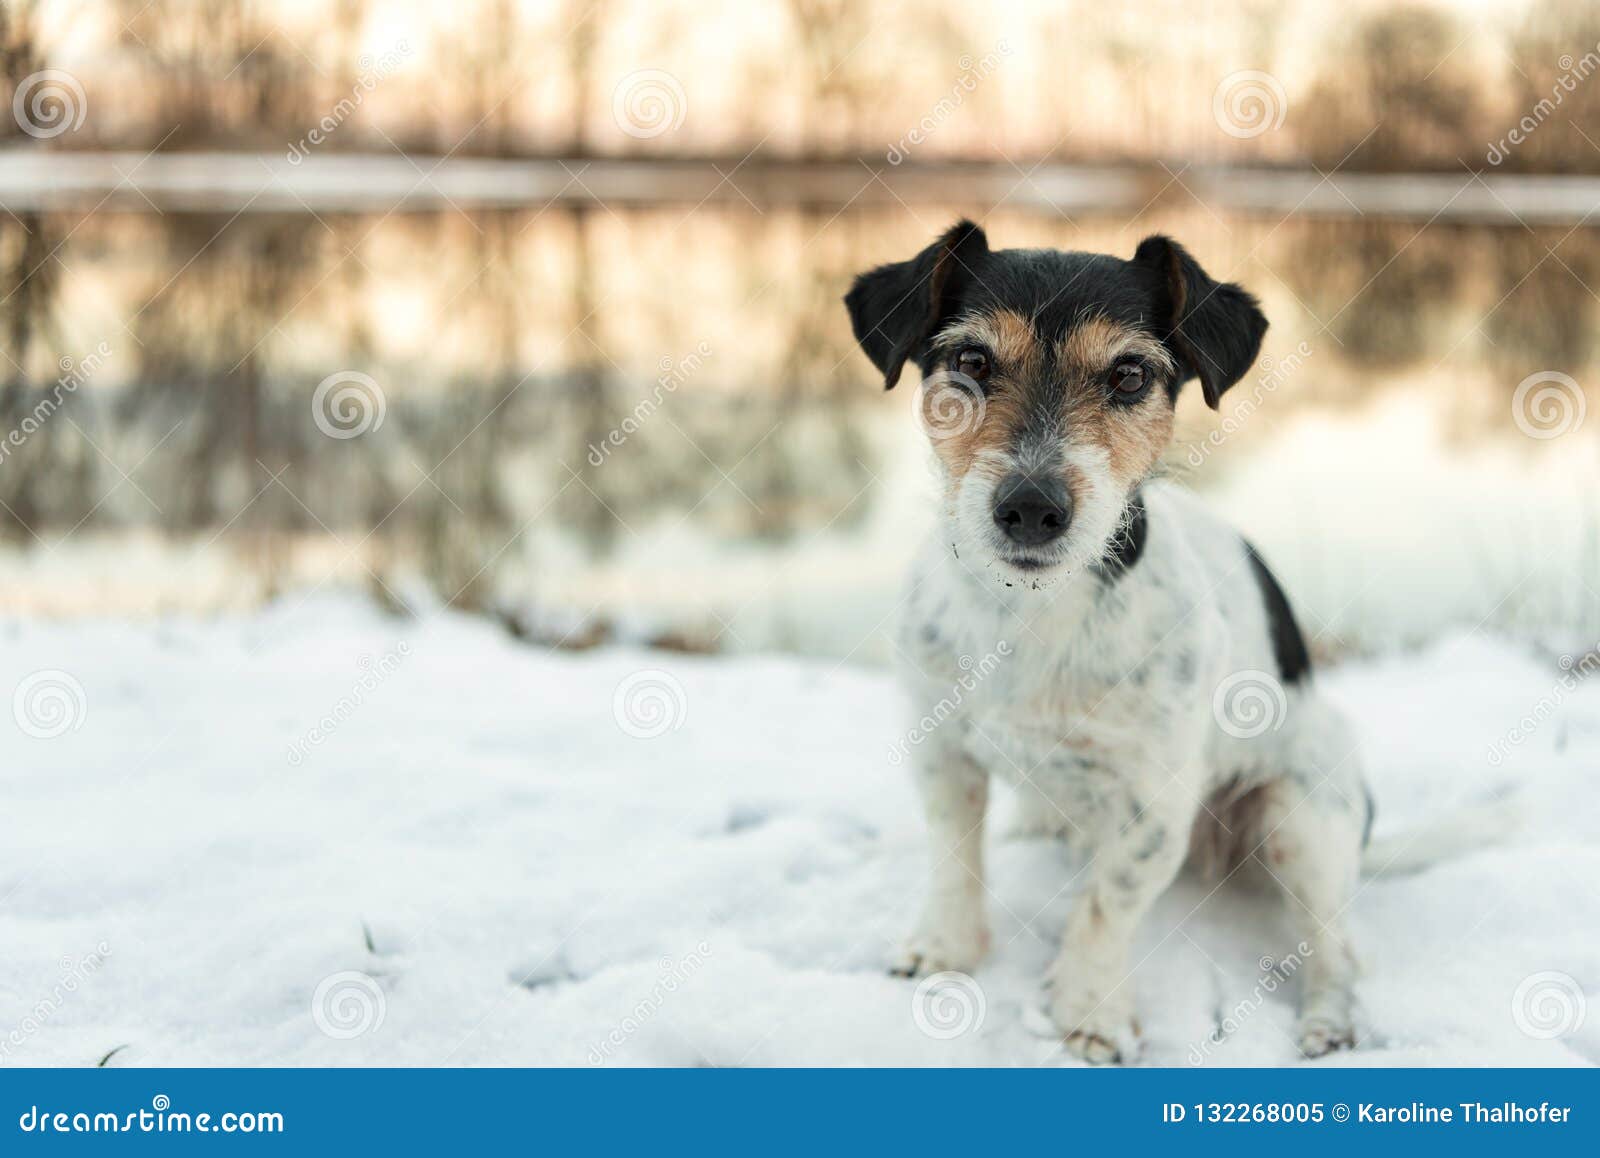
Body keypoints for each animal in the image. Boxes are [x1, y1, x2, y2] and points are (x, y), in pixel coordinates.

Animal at [844, 222, 1369, 1062]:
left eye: (1128, 375)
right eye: (971, 361)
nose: (1030, 507)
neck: (1030, 611)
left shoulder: (1153, 808)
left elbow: (1103, 909)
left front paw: (1089, 1013)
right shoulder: (942, 750)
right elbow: (955, 859)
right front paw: (947, 949)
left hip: (1304, 819)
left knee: (1335, 947)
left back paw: (1327, 1023)